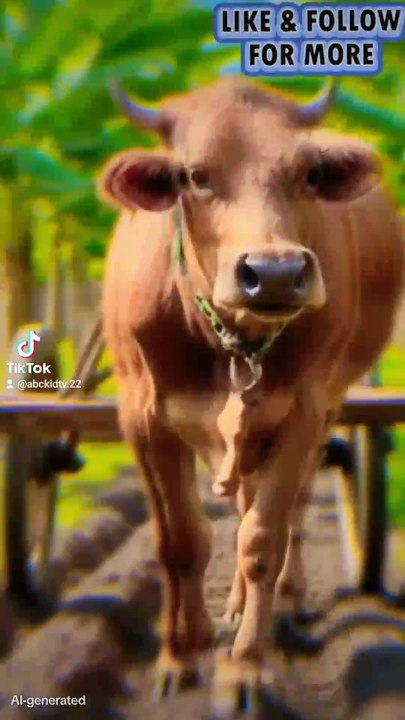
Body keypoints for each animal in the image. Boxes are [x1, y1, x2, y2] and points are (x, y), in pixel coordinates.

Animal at [98, 76, 405, 706]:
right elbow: (179, 542)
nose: (276, 273)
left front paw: (244, 667)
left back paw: (283, 605)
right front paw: (180, 655)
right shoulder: (143, 420)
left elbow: (263, 539)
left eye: (309, 173)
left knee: (285, 512)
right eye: (194, 175)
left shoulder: (304, 413)